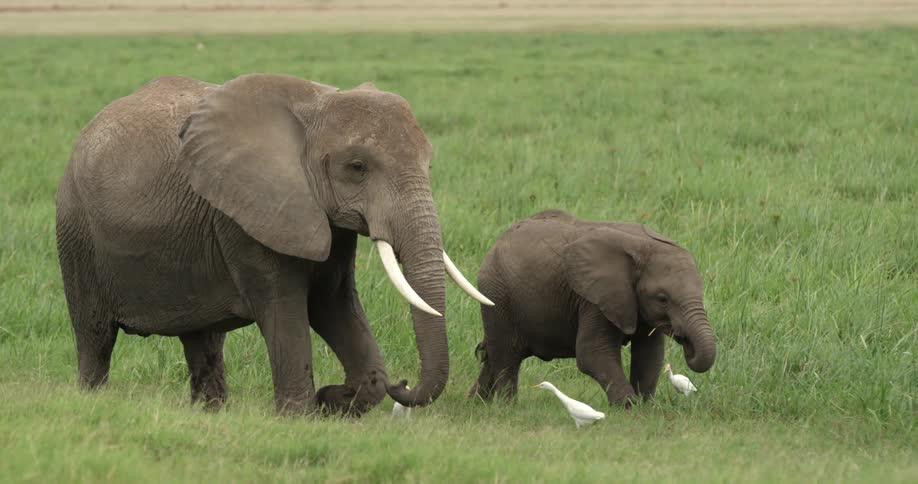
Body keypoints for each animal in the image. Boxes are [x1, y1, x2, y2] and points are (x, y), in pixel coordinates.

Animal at [55, 74, 493, 415]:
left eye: (429, 165)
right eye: (357, 168)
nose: (404, 384)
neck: (317, 103)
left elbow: (333, 303)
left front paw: (334, 400)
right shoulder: (245, 213)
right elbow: (284, 306)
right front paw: (300, 415)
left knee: (203, 339)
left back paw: (211, 412)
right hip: (77, 232)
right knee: (95, 334)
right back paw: (92, 399)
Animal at [469, 209, 716, 406]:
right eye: (663, 299)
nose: (686, 341)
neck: (644, 247)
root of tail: (497, 242)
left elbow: (649, 354)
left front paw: (646, 407)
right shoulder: (593, 299)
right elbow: (592, 353)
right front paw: (629, 408)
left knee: (493, 355)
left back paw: (477, 403)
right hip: (497, 295)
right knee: (506, 355)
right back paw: (506, 407)